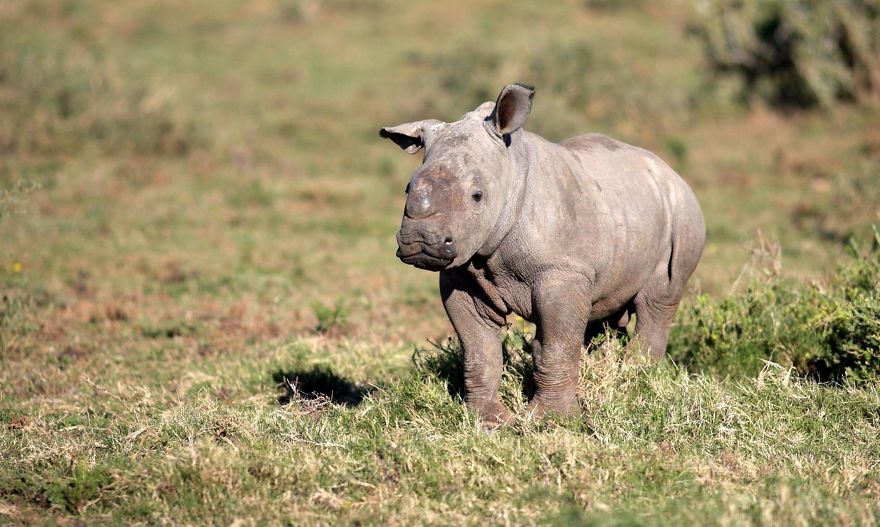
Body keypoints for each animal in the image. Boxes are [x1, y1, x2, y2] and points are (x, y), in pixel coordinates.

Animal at [380, 83, 705, 426]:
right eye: (407, 189)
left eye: (477, 196)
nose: (421, 241)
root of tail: (671, 171)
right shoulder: (462, 274)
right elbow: (479, 350)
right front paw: (488, 421)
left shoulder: (561, 272)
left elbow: (557, 345)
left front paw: (551, 420)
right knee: (601, 307)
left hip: (682, 209)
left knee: (657, 298)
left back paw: (637, 379)